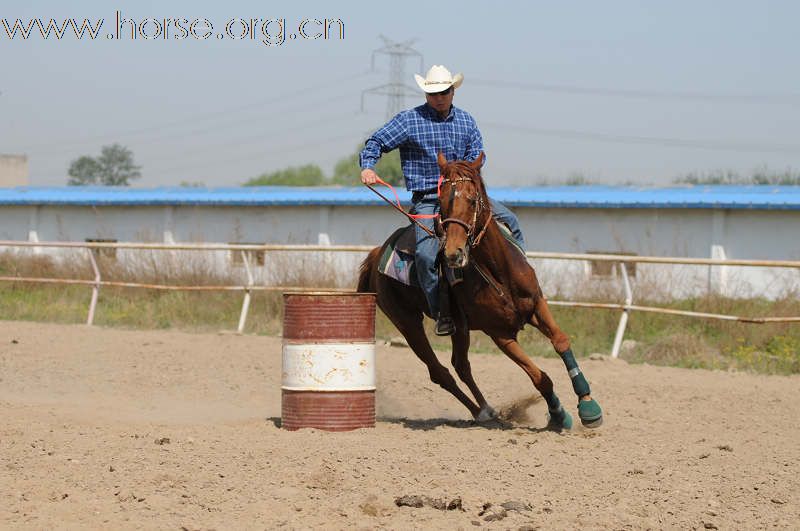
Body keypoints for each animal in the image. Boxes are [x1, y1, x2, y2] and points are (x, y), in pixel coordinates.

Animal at [360, 152, 604, 430]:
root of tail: (377, 254)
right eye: (441, 201)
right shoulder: (500, 334)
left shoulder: (537, 304)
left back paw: (487, 409)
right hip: (408, 323)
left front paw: (588, 406)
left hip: (460, 327)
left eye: (472, 198)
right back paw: (481, 412)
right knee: (440, 372)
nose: (453, 253)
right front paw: (558, 415)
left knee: (461, 365)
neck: (500, 274)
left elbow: (561, 341)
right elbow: (539, 377)